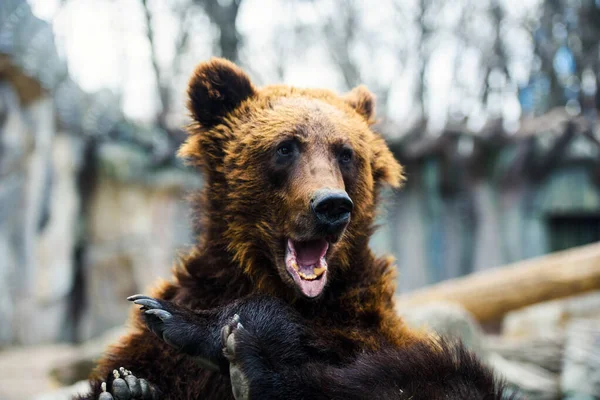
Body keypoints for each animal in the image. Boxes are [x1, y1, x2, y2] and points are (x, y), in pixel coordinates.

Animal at [78, 57, 510, 400]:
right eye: (285, 147)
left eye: (346, 153)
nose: (331, 205)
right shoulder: (189, 307)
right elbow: (129, 367)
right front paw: (128, 383)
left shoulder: (363, 324)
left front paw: (182, 321)